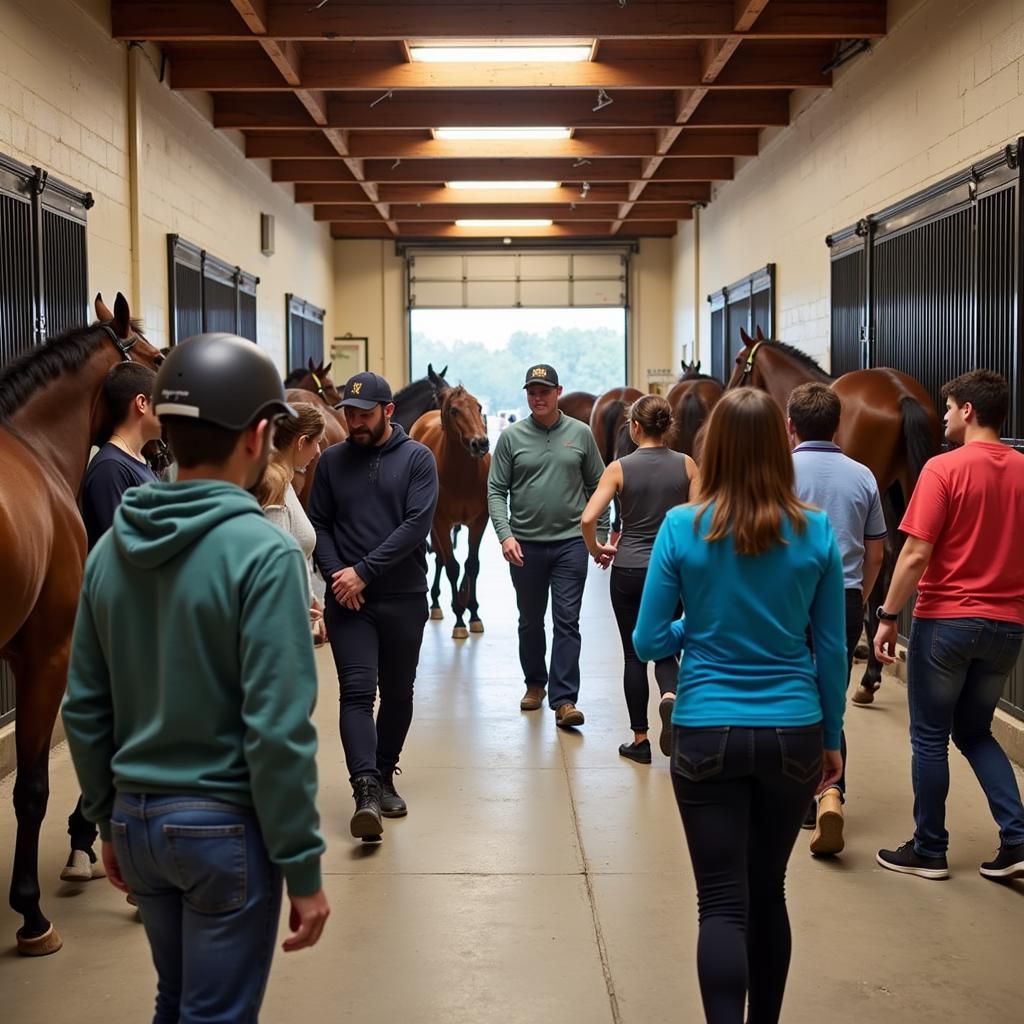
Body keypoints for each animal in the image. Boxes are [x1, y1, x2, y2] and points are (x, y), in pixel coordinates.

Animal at [405, 385, 489, 638]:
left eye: (478, 407)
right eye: (454, 411)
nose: (481, 443)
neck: (462, 475)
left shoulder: (479, 521)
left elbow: (472, 565)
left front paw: (474, 614)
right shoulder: (440, 521)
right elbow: (452, 566)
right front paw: (460, 619)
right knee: (442, 558)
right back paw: (436, 604)